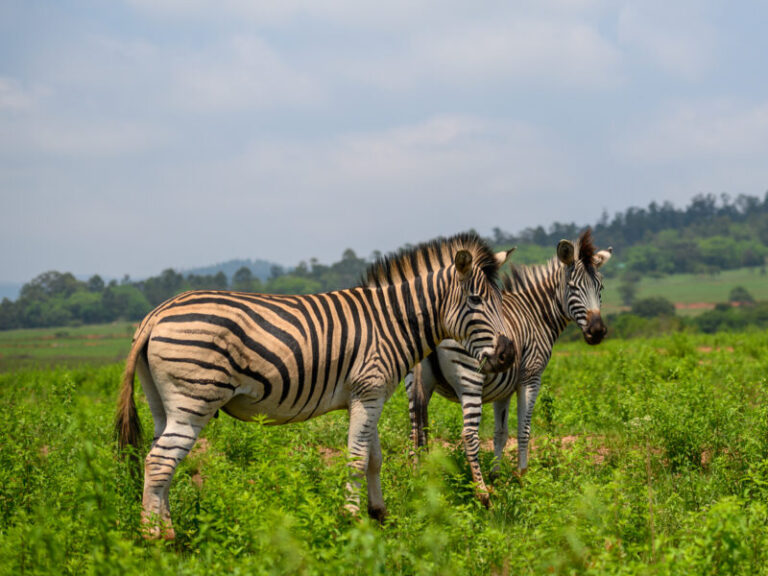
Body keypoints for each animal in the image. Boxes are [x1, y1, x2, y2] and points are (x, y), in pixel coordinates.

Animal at [115, 232, 515, 539]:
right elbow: (356, 458)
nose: (508, 354)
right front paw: (352, 520)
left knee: (161, 461)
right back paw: (156, 542)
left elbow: (373, 458)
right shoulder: (368, 390)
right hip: (194, 401)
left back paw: (168, 533)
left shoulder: (368, 395)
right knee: (159, 463)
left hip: (164, 406)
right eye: (476, 300)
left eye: (499, 299)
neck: (391, 321)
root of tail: (155, 314)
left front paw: (379, 515)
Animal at [405, 229, 611, 505]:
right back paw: (482, 495)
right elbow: (524, 430)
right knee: (467, 435)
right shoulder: (530, 377)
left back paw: (420, 484)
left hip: (417, 384)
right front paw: (522, 478)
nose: (597, 332)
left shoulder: (502, 388)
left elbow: (500, 433)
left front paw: (497, 476)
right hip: (469, 379)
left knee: (417, 431)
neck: (536, 313)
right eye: (572, 287)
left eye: (600, 287)